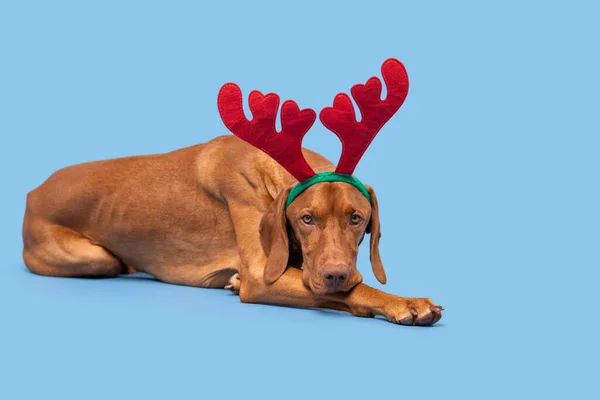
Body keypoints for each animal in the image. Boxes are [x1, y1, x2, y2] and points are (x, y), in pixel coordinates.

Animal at [21, 57, 442, 324]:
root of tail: (33, 191)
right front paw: (406, 302)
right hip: (95, 257)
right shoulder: (263, 276)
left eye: (357, 218)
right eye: (306, 219)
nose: (337, 274)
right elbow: (351, 291)